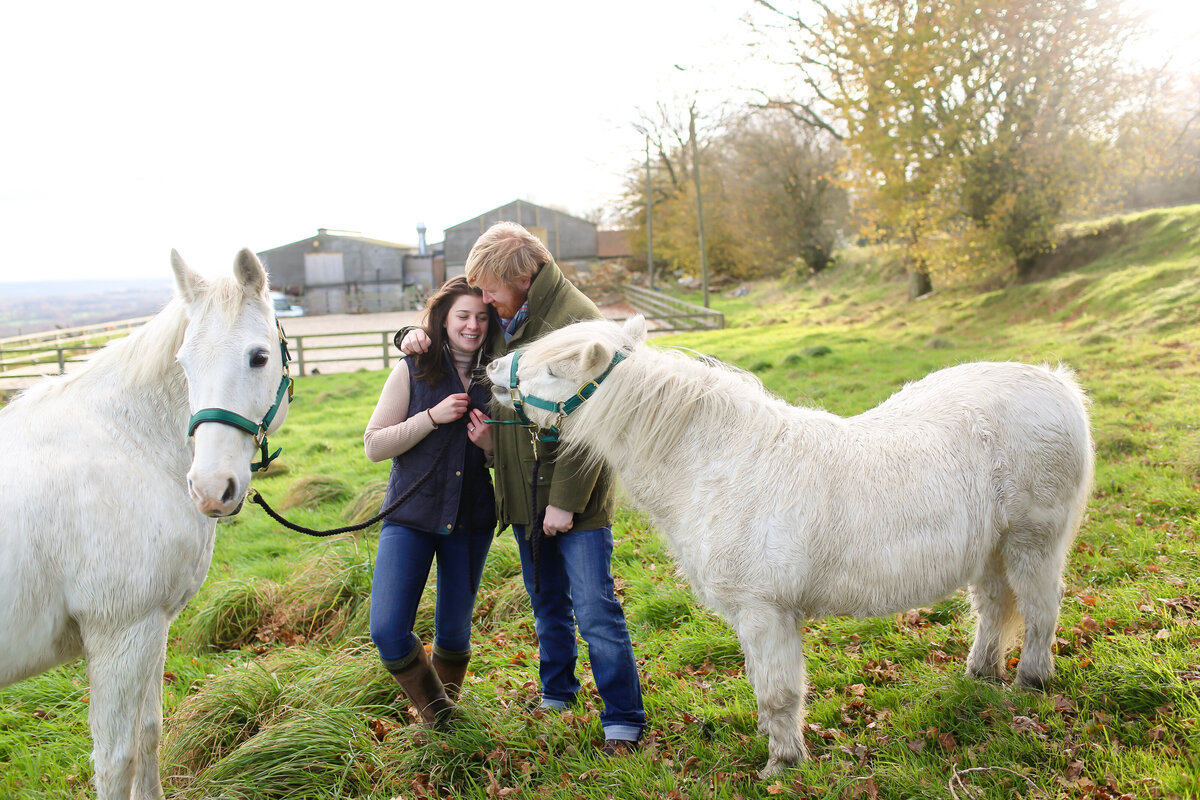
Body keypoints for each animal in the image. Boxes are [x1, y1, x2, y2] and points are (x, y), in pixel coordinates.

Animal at [0, 250, 290, 800]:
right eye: (185, 364)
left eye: (259, 357)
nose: (210, 488)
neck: (126, 442)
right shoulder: (120, 634)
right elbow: (117, 760)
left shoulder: (154, 628)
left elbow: (151, 731)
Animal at [489, 316, 1099, 777]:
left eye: (555, 367)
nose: (492, 369)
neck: (719, 466)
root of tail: (1059, 385)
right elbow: (766, 686)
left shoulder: (766, 612)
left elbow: (779, 691)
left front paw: (782, 764)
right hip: (991, 550)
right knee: (995, 608)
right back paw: (980, 676)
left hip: (1032, 543)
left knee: (1040, 611)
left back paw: (1030, 683)